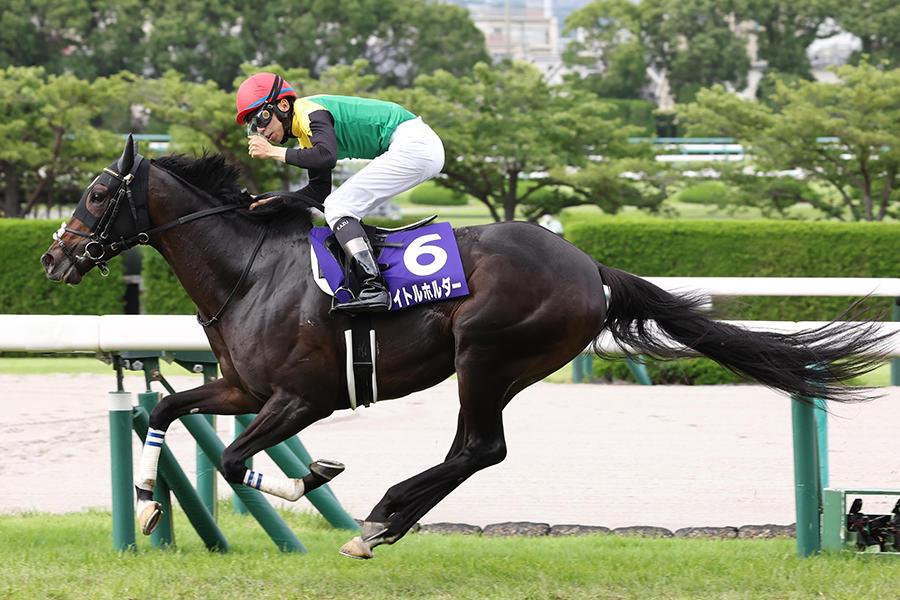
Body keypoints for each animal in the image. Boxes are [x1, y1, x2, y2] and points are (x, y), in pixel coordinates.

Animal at [41, 136, 890, 558]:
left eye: (96, 193)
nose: (53, 258)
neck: (250, 270)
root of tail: (589, 265)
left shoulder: (302, 396)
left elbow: (234, 459)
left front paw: (314, 477)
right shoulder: (243, 387)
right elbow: (173, 413)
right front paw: (147, 499)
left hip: (486, 353)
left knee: (481, 447)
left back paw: (379, 520)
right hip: (493, 365)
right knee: (470, 451)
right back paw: (385, 524)